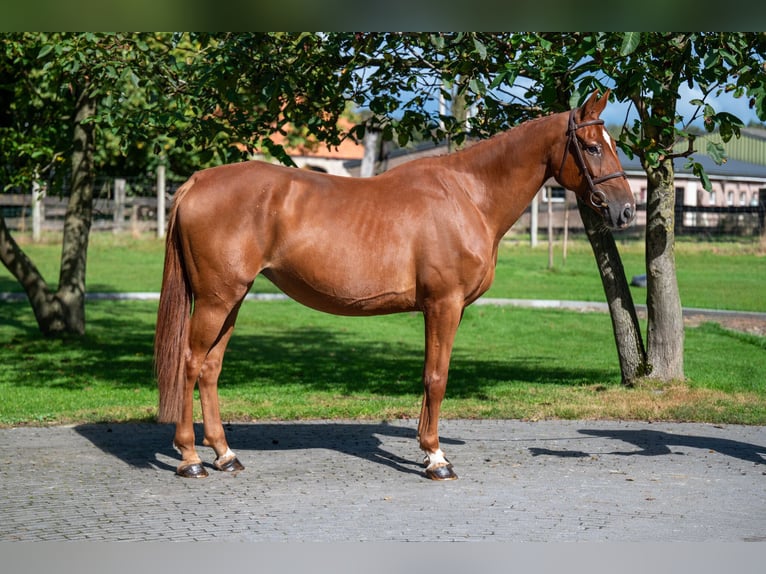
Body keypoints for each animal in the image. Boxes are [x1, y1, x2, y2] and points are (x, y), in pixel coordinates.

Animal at [153, 90, 632, 482]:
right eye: (592, 147)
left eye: (613, 146)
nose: (625, 210)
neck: (468, 195)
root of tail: (198, 181)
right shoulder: (444, 304)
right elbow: (437, 377)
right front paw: (437, 459)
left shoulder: (441, 309)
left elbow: (428, 374)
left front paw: (427, 450)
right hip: (216, 299)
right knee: (189, 363)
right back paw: (190, 458)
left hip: (232, 299)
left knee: (210, 368)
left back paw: (225, 454)